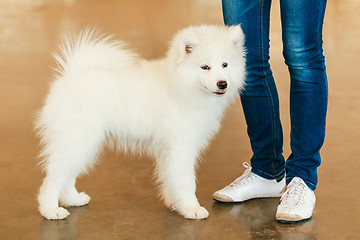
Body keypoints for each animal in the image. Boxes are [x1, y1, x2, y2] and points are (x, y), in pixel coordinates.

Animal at [35, 24, 246, 219]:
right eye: (205, 67)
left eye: (225, 64)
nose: (222, 84)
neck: (180, 85)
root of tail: (70, 76)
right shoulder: (181, 147)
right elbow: (186, 180)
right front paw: (191, 208)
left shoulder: (167, 150)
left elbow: (170, 178)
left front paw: (175, 203)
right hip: (78, 140)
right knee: (53, 178)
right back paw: (51, 210)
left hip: (81, 143)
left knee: (67, 175)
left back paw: (73, 199)